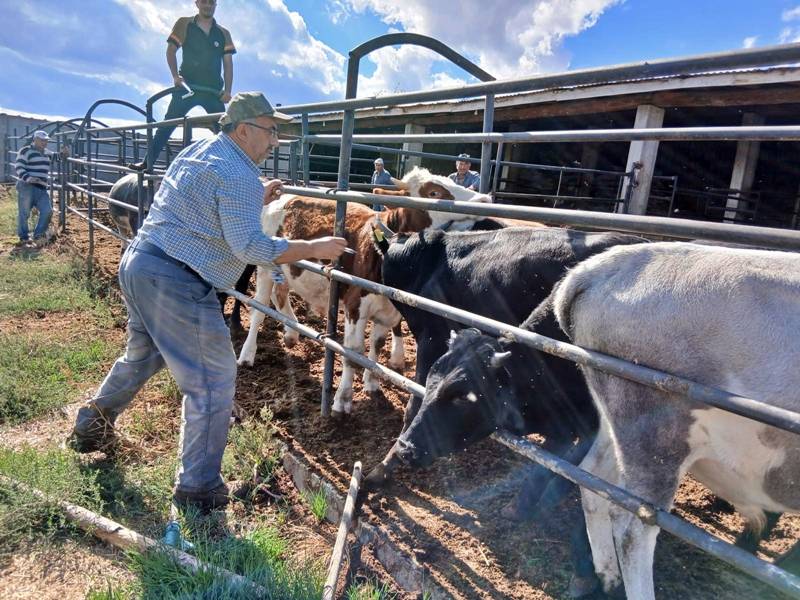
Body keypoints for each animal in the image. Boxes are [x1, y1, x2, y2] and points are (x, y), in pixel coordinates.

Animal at [236, 166, 498, 415]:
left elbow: (377, 345)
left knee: (280, 295)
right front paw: (342, 400)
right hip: (263, 267)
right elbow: (353, 352)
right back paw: (247, 355)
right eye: (433, 193)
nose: (485, 198)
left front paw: (372, 384)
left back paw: (291, 334)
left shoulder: (388, 310)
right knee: (259, 308)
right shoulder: (355, 306)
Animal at [551, 242, 800, 599]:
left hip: (619, 423)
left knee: (592, 477)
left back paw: (607, 578)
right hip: (658, 435)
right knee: (633, 526)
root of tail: (602, 266)